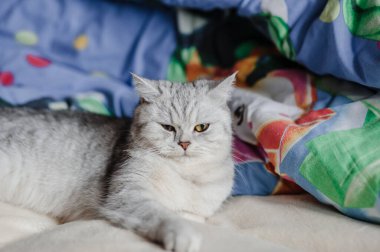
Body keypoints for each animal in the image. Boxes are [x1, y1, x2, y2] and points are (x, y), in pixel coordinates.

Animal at [0, 73, 236, 252]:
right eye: (167, 127)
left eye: (201, 127)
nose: (184, 143)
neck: (183, 175)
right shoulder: (126, 195)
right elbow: (163, 214)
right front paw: (183, 235)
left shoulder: (201, 210)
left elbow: (191, 214)